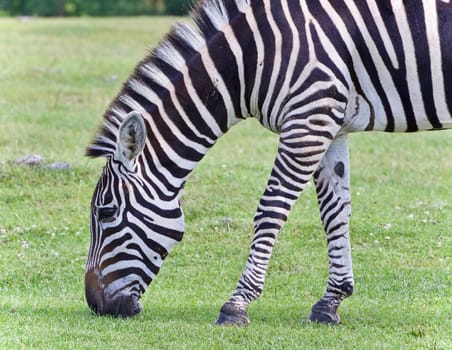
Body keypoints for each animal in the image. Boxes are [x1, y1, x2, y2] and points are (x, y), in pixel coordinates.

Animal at [83, 0, 450, 326]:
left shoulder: (307, 121)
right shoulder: (331, 124)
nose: (96, 305)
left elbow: (270, 211)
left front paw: (236, 305)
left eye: (106, 212)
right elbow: (335, 213)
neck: (252, 59)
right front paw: (331, 301)